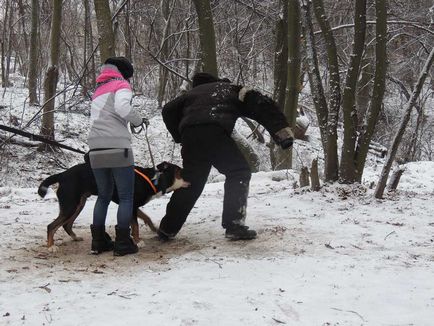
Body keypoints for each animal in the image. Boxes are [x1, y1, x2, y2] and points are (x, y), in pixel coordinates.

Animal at [39, 161, 190, 252]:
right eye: (180, 172)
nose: (191, 181)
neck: (155, 180)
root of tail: (62, 174)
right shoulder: (131, 205)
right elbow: (135, 226)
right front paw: (138, 241)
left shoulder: (133, 206)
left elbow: (146, 218)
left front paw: (154, 229)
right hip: (70, 205)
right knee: (51, 226)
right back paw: (51, 247)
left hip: (78, 205)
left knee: (66, 225)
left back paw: (75, 237)